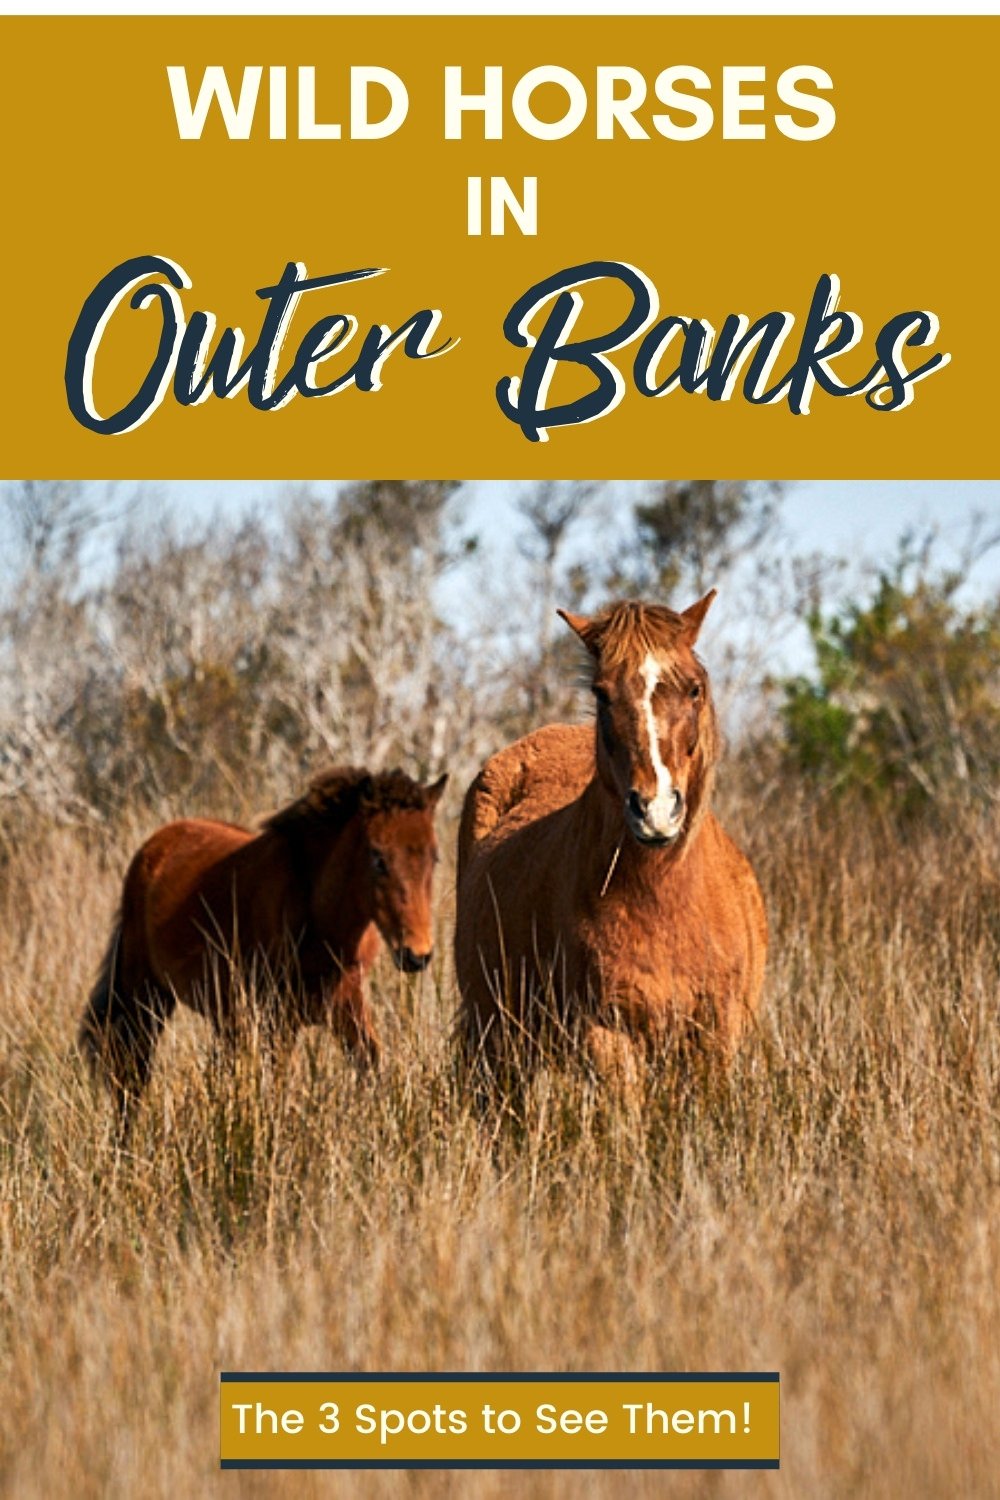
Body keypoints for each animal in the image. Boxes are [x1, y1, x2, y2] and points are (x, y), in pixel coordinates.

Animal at [80, 766, 447, 1116]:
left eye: (434, 857)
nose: (416, 954)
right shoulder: (277, 1022)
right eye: (377, 857)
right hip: (145, 998)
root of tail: (155, 846)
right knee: (131, 1079)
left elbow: (370, 1067)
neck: (320, 922)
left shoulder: (346, 1006)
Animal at [454, 594, 767, 1085]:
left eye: (694, 689)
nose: (655, 810)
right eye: (602, 693)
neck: (665, 900)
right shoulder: (606, 1033)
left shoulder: (715, 1037)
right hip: (496, 1042)